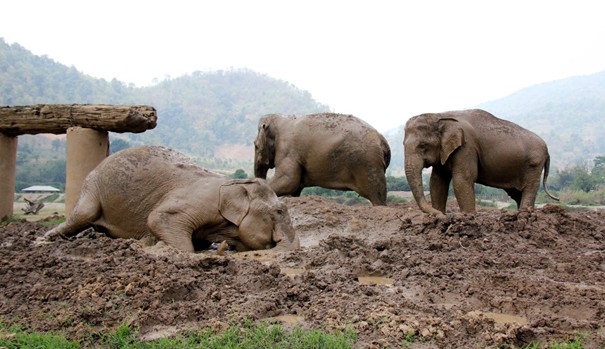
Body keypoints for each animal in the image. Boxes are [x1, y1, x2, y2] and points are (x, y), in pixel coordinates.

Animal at [43, 145, 300, 251]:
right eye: (278, 211)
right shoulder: (197, 201)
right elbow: (158, 218)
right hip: (91, 187)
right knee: (81, 215)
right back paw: (43, 241)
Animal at [252, 112, 390, 204]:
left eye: (255, 145)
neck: (282, 119)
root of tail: (382, 141)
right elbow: (294, 187)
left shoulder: (287, 150)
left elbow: (288, 180)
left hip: (368, 163)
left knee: (377, 196)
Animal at [404, 109, 560, 218]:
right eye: (403, 144)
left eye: (423, 146)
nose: (440, 215)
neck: (440, 115)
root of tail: (547, 150)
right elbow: (437, 181)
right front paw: (439, 215)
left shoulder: (467, 147)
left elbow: (463, 179)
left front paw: (467, 216)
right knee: (516, 192)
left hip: (534, 164)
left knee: (529, 187)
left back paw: (524, 213)